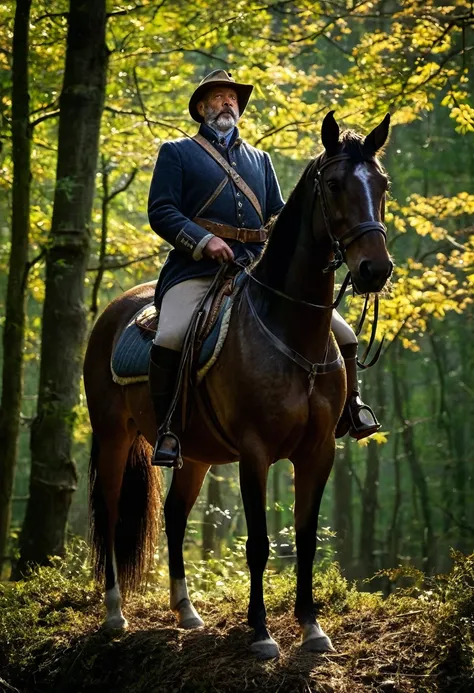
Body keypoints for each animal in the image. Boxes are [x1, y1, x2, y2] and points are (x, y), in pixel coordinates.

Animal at [84, 111, 392, 656]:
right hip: (114, 437)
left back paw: (187, 612)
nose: (375, 269)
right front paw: (262, 633)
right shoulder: (255, 452)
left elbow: (305, 535)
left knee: (175, 513)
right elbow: (260, 543)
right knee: (111, 509)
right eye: (334, 184)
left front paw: (312, 627)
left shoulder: (318, 452)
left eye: (382, 184)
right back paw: (115, 614)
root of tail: (114, 310)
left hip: (194, 453)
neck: (290, 329)